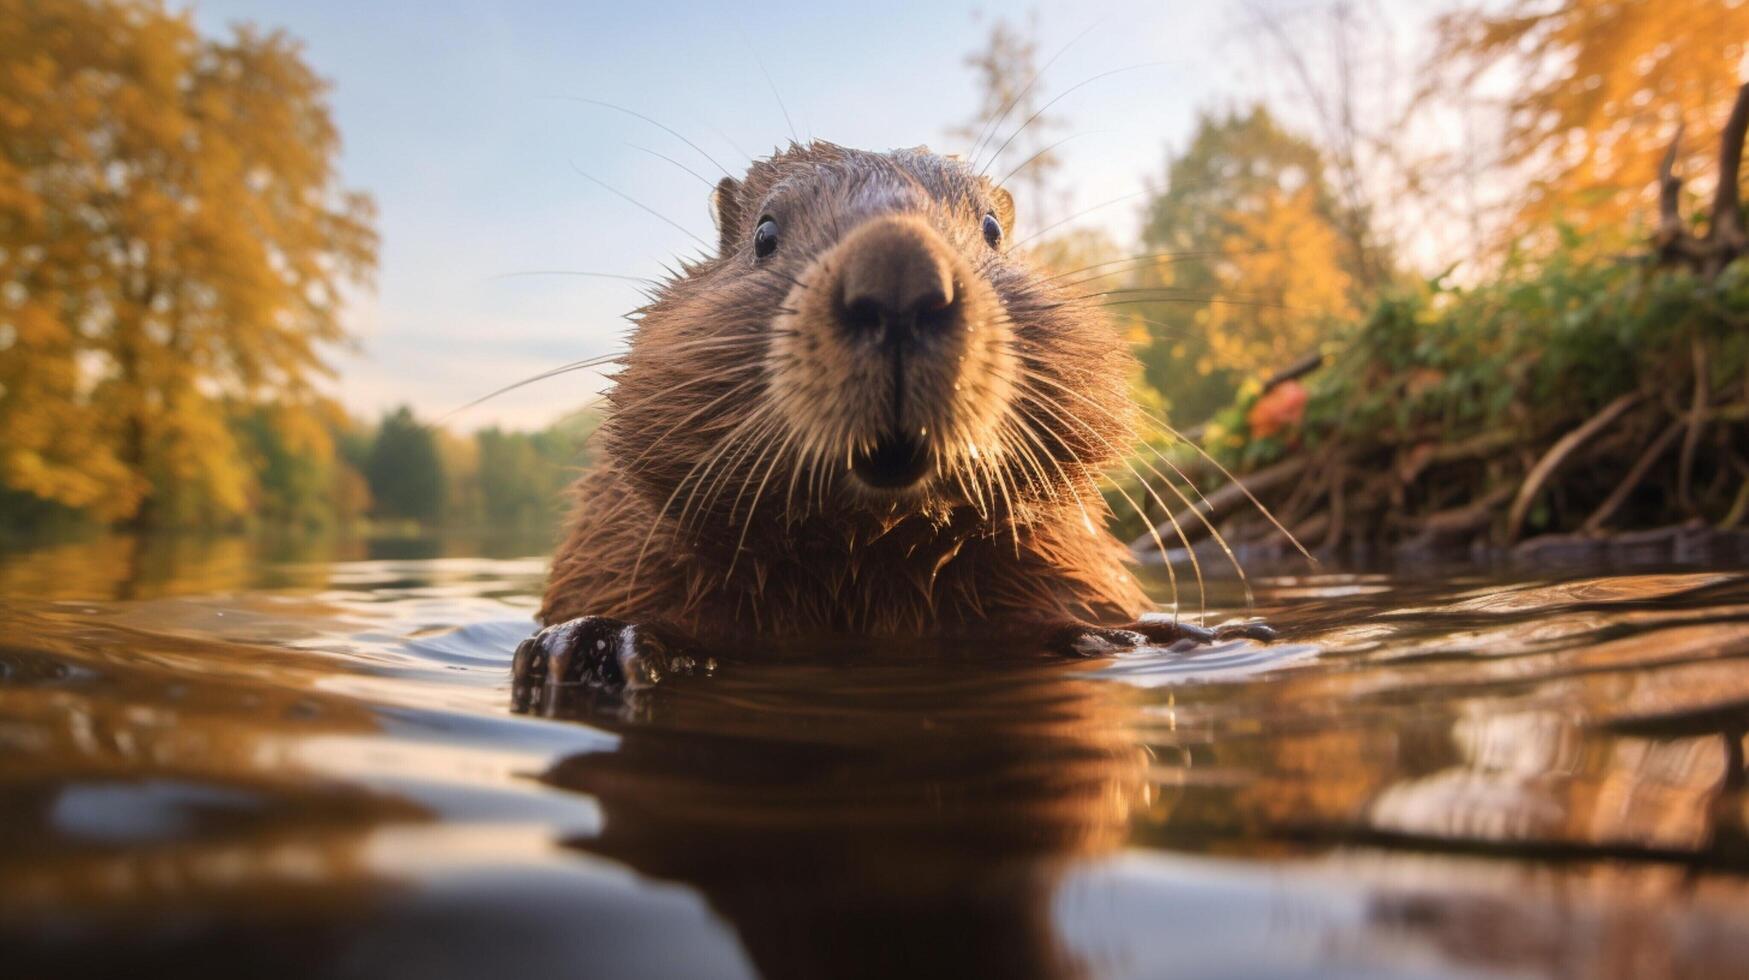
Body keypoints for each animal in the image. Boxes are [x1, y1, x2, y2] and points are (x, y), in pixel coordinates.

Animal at [510, 141, 1273, 707]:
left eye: (992, 229)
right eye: (764, 232)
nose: (899, 269)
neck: (870, 549)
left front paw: (1198, 631)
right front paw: (589, 643)